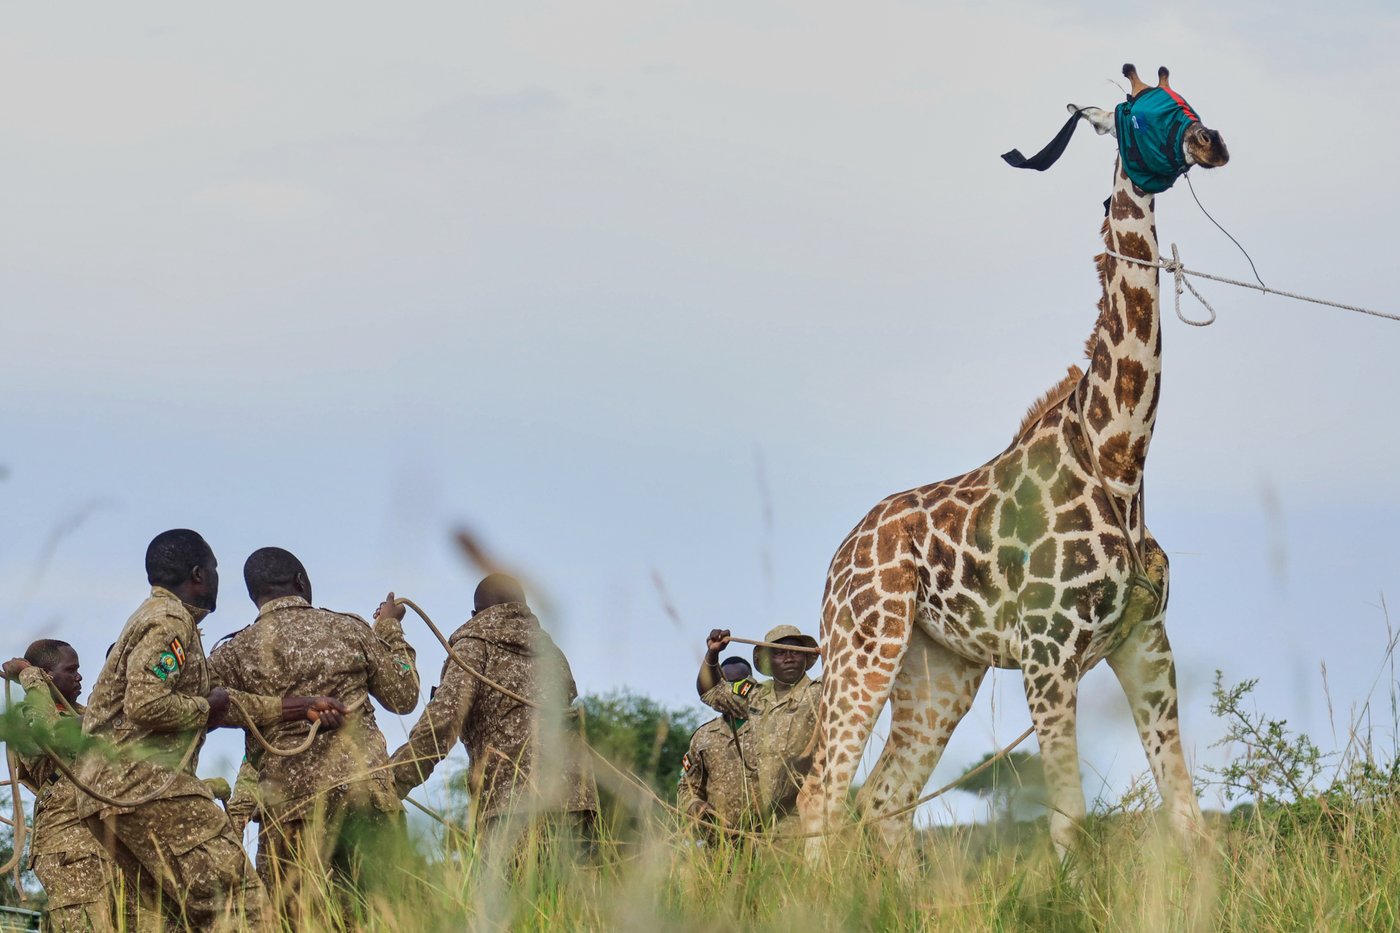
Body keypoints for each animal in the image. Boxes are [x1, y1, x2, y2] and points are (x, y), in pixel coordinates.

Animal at [797, 65, 1230, 860]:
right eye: (1143, 109)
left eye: (1187, 98)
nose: (1211, 142)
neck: (1119, 455)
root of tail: (843, 551)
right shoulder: (1048, 650)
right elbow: (1068, 814)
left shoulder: (1146, 644)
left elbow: (1186, 815)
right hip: (864, 641)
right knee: (825, 790)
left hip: (941, 666)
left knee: (887, 798)